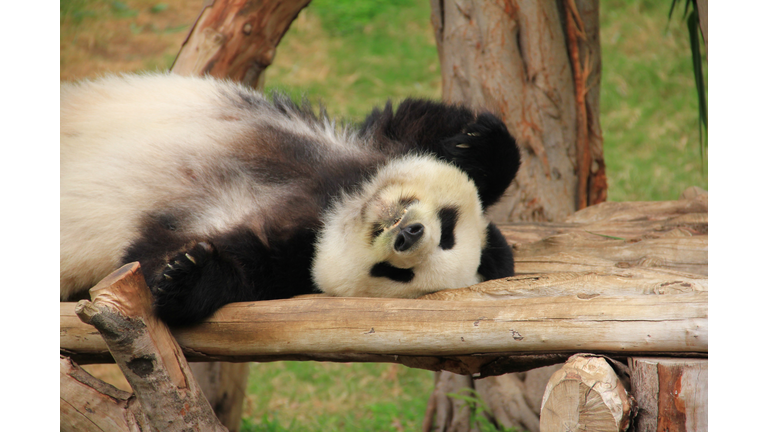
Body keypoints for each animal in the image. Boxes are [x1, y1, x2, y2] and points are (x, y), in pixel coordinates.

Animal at [60, 73, 520, 324]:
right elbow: (422, 119)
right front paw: (476, 143)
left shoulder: (287, 261)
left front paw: (184, 274)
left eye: (398, 275)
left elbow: (163, 259)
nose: (409, 235)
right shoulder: (372, 141)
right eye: (449, 228)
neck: (331, 207)